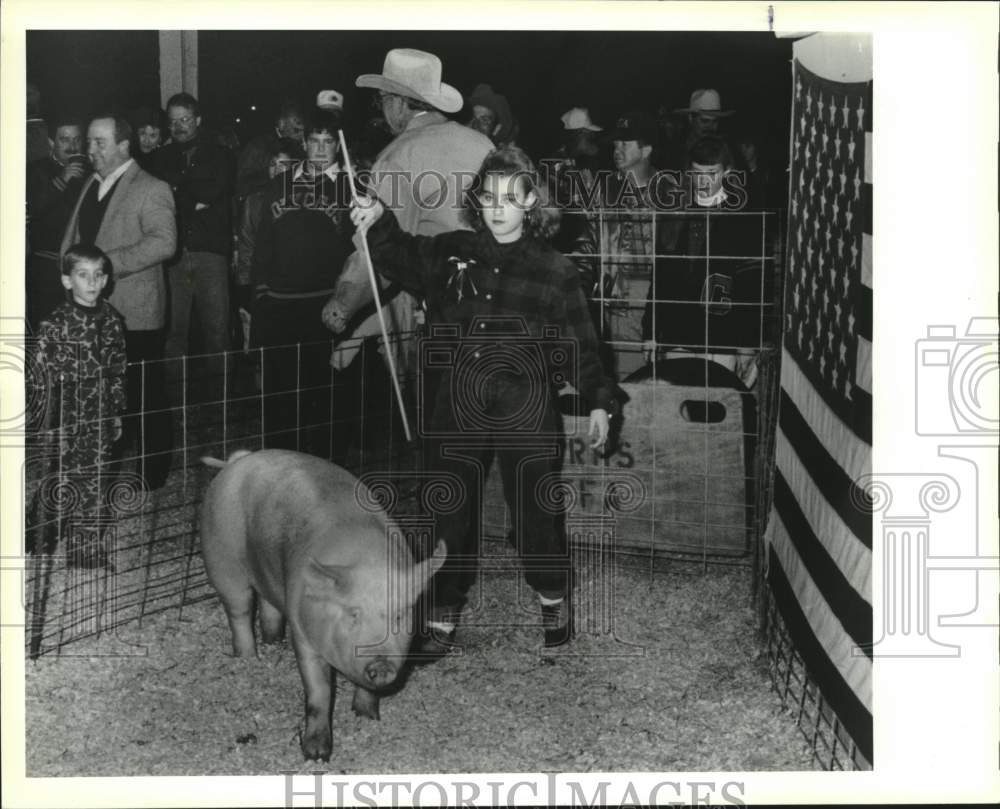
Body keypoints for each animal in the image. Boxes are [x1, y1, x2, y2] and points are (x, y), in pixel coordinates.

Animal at [199, 452, 446, 760]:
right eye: (353, 614)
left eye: (399, 616)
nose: (381, 664)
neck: (366, 559)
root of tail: (237, 461)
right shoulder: (303, 630)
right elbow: (319, 693)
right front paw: (316, 755)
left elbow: (367, 689)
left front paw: (367, 717)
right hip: (222, 561)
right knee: (239, 610)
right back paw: (248, 658)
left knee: (267, 602)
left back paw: (273, 641)